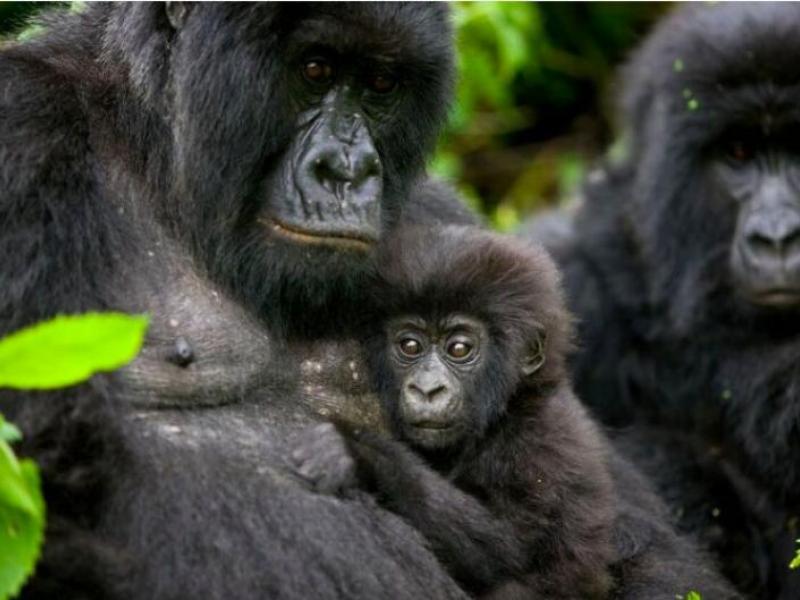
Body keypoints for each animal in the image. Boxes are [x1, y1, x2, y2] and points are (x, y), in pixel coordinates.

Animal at [0, 3, 736, 600]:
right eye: (314, 68)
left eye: (382, 85)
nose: (348, 171)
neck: (155, 147)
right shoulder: (25, 128)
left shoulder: (442, 220)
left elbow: (627, 543)